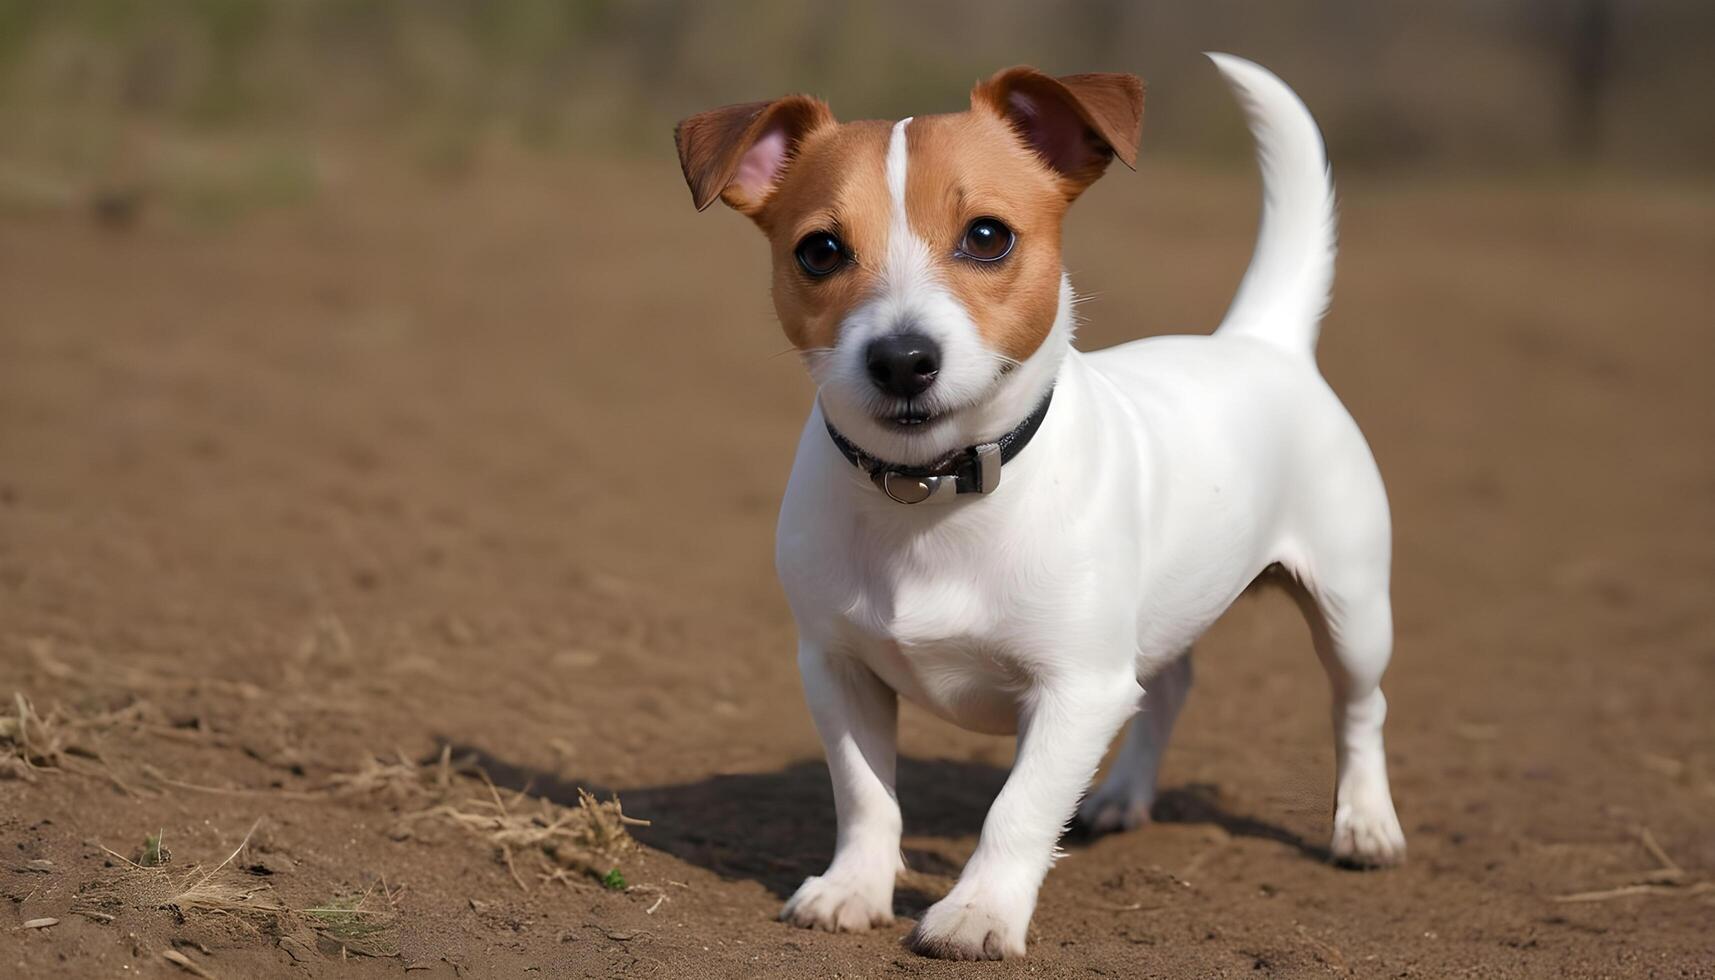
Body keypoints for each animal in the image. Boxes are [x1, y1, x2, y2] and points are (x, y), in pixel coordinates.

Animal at [675, 51, 1399, 961]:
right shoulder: (836, 669)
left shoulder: (1076, 689)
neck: (932, 496)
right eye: (819, 251)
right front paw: (853, 890)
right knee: (1167, 686)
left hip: (1350, 609)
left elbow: (1015, 810)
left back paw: (1365, 825)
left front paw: (978, 912)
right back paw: (1122, 796)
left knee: (1358, 707)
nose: (901, 358)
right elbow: (866, 795)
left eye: (987, 237)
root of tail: (1260, 338)